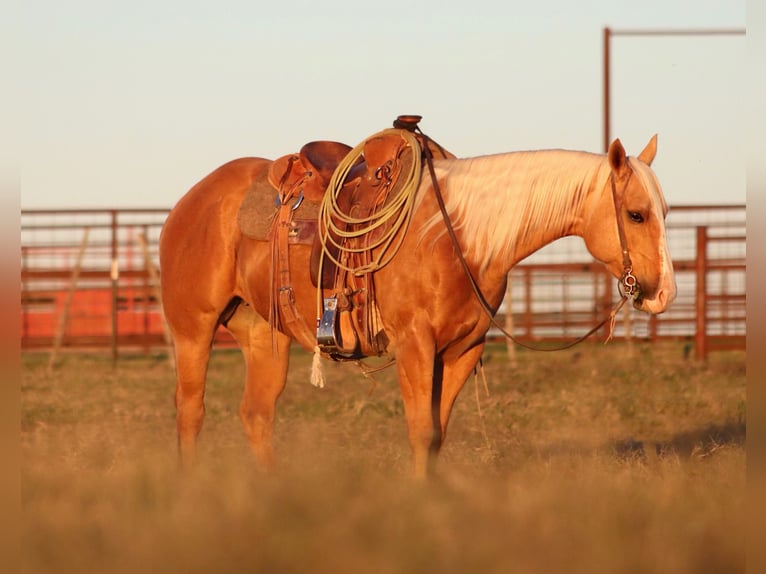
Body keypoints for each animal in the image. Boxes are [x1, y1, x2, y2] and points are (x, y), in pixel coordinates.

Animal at [160, 126, 680, 482]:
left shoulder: (461, 350)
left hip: (264, 337)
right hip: (193, 330)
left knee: (256, 415)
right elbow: (421, 431)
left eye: (665, 211)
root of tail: (191, 201)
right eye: (636, 214)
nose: (664, 293)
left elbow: (437, 434)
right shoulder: (414, 346)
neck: (456, 237)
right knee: (190, 412)